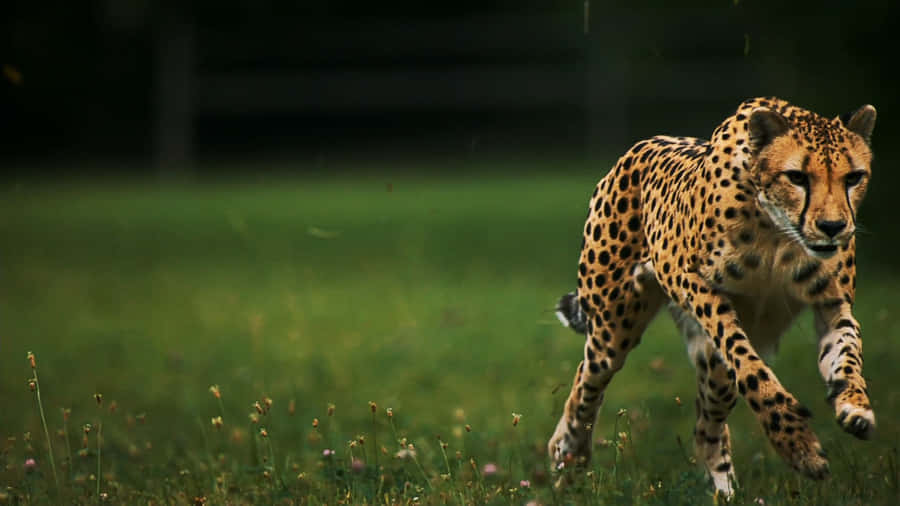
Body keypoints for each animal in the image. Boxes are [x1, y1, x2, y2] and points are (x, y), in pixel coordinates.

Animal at [548, 97, 877, 496]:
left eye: (853, 177)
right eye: (797, 177)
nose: (832, 227)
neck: (780, 232)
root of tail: (637, 148)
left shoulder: (832, 304)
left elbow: (847, 355)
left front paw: (854, 405)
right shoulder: (694, 283)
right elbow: (750, 368)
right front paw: (799, 445)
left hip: (712, 370)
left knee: (705, 426)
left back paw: (725, 492)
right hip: (613, 328)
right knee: (586, 383)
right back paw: (568, 455)